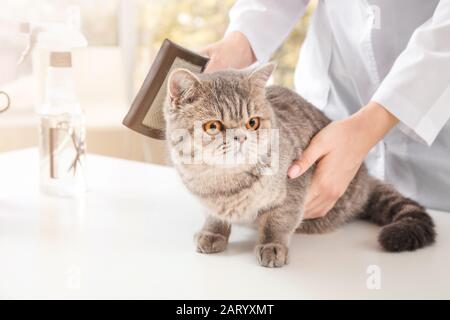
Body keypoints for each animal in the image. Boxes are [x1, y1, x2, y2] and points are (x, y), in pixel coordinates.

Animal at [164, 62, 436, 268]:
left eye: (252, 123)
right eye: (213, 126)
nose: (241, 137)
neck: (225, 184)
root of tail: (366, 179)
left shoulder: (293, 188)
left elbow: (278, 221)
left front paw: (272, 245)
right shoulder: (208, 202)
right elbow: (214, 217)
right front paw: (213, 232)